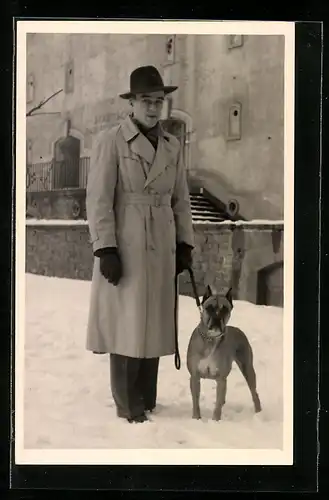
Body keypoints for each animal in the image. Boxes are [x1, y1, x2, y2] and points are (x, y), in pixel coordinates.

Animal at [186, 286, 260, 422]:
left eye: (225, 309)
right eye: (209, 308)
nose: (216, 318)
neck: (210, 339)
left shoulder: (221, 379)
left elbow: (217, 405)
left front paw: (215, 421)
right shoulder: (195, 376)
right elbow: (196, 401)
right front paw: (196, 418)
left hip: (247, 369)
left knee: (254, 393)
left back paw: (258, 413)